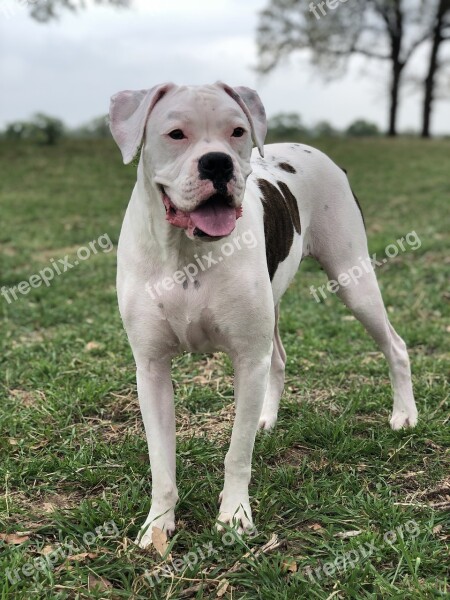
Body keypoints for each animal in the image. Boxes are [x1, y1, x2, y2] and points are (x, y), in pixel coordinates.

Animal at [109, 83, 418, 548]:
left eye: (237, 131)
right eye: (175, 133)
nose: (217, 162)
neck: (186, 250)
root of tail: (321, 154)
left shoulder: (246, 359)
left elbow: (237, 453)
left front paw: (235, 515)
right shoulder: (151, 369)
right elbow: (161, 461)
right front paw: (158, 524)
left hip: (353, 280)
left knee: (394, 345)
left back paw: (405, 414)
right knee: (279, 359)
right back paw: (264, 418)